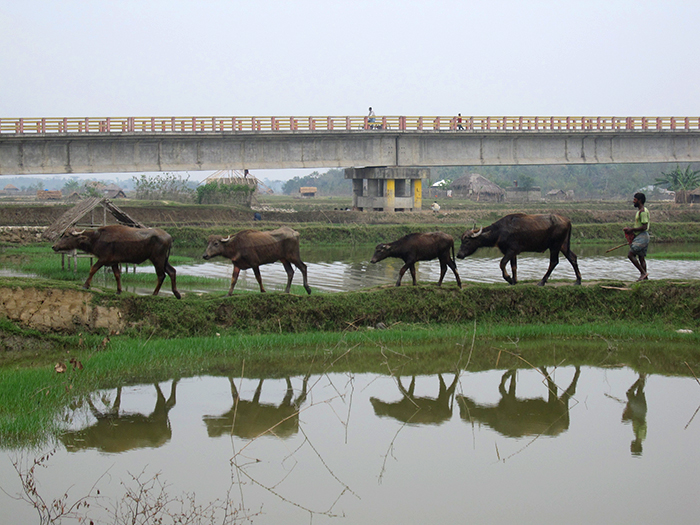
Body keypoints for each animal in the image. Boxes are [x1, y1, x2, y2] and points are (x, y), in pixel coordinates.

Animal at [53, 224, 182, 298]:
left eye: (66, 236)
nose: (54, 246)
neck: (97, 238)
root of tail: (169, 237)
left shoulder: (103, 259)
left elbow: (92, 269)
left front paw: (85, 285)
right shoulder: (113, 262)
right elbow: (117, 275)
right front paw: (119, 290)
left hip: (157, 258)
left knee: (161, 275)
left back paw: (154, 294)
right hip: (163, 260)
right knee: (172, 271)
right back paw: (177, 293)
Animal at [456, 213, 584, 286]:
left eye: (467, 241)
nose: (458, 255)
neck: (500, 232)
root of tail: (567, 220)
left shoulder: (511, 251)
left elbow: (502, 264)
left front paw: (509, 279)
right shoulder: (513, 253)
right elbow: (514, 266)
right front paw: (514, 280)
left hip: (555, 246)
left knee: (554, 262)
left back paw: (542, 282)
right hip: (563, 245)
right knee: (573, 257)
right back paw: (578, 280)